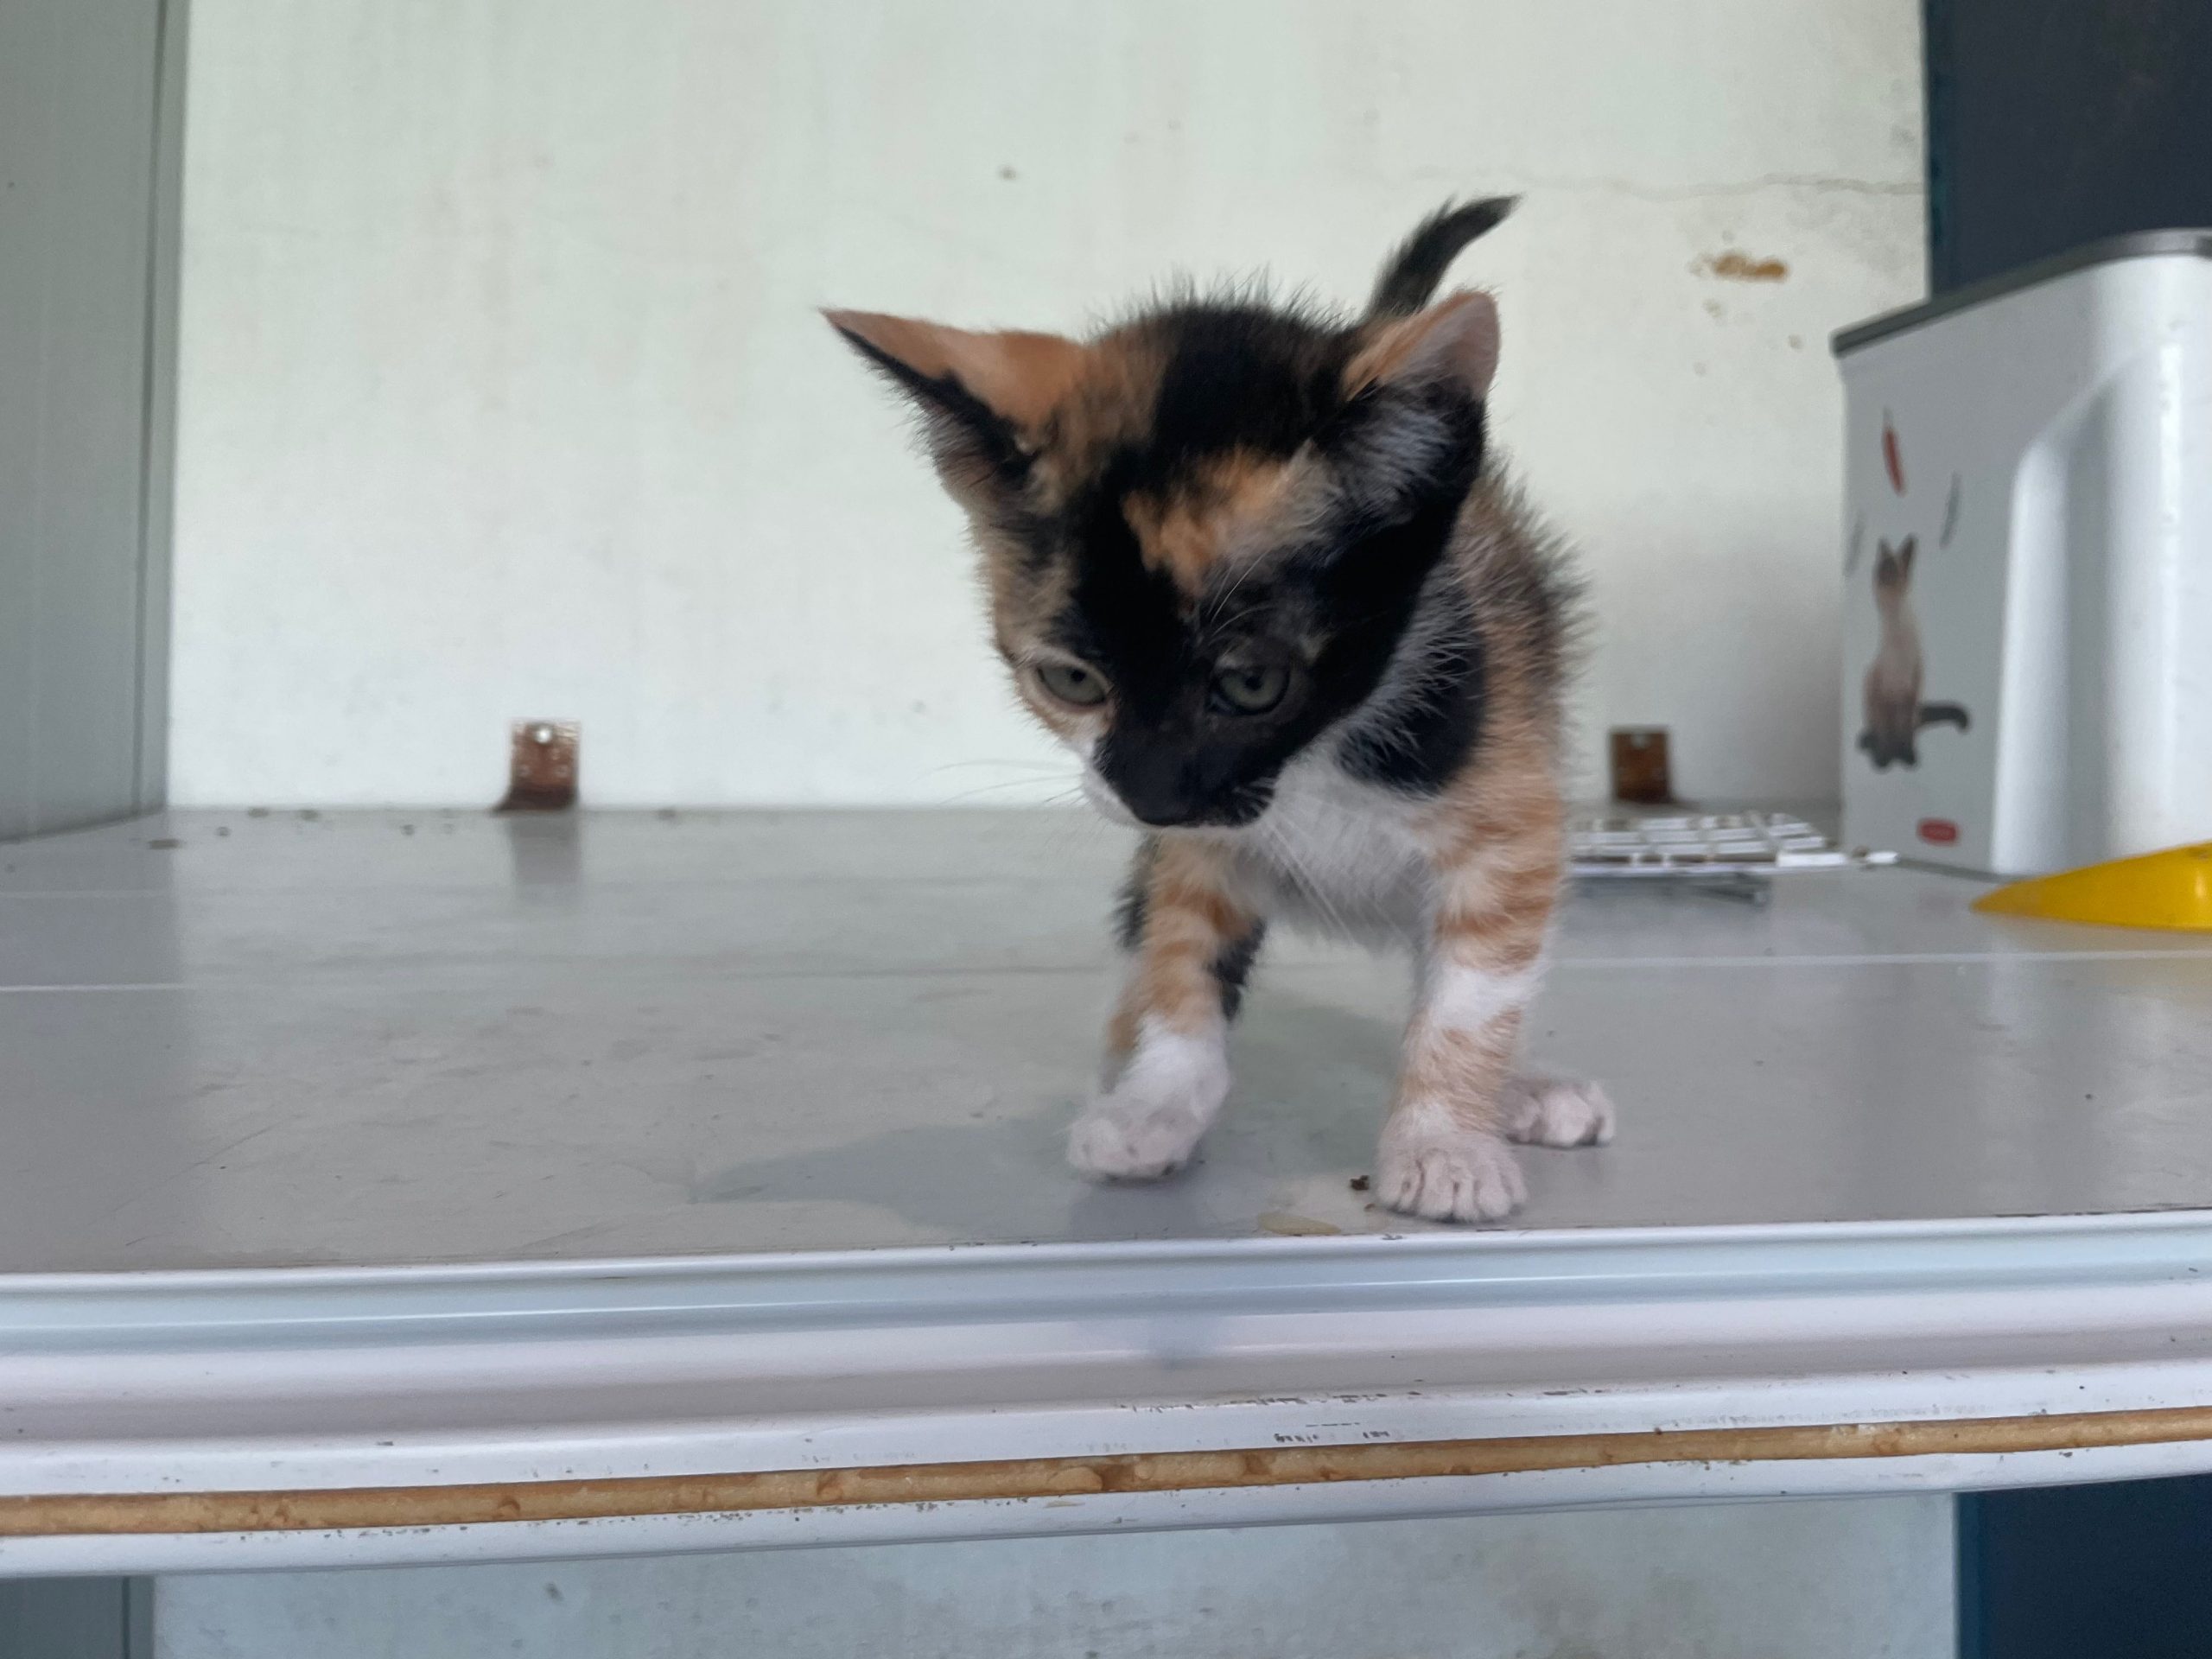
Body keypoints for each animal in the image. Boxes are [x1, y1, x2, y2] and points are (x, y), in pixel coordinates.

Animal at [829, 199, 1611, 1222]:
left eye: (1251, 685)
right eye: (1069, 680)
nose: (1152, 797)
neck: (1319, 759)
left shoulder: (1508, 815)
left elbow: (1472, 993)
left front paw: (1445, 1144)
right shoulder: (1187, 848)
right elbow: (1178, 964)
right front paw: (1155, 1106)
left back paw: (1520, 1091)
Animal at [1858, 536, 1969, 770]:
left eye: (1892, 568)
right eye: (1880, 568)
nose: (1881, 576)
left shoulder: (1911, 696)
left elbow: (1906, 736)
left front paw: (1908, 758)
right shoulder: (1883, 700)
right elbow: (1884, 735)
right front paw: (1883, 761)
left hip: (1913, 706)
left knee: (1913, 727)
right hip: (1868, 689)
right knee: (1876, 730)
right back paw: (1871, 744)